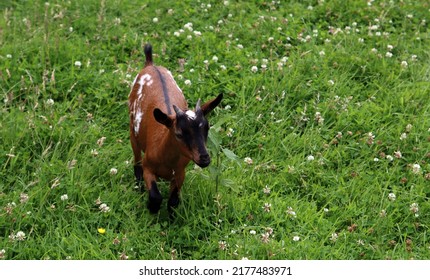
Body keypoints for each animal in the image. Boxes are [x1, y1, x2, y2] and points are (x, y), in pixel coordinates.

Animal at [127, 43, 223, 214]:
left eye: (207, 129)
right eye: (178, 134)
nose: (205, 158)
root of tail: (150, 64)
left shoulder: (180, 174)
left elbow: (173, 201)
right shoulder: (148, 167)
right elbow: (155, 196)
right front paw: (151, 209)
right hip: (133, 131)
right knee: (136, 158)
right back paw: (138, 186)